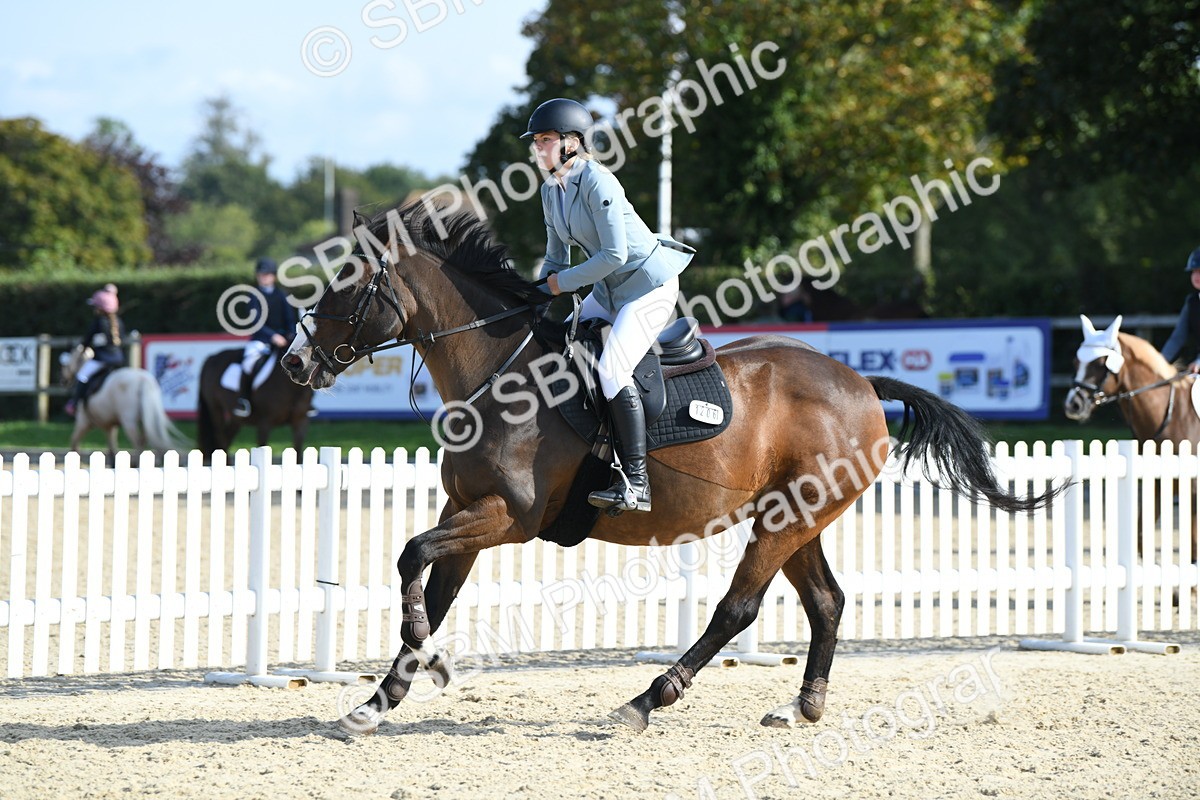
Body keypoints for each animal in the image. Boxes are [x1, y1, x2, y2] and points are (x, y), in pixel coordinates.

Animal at [281, 202, 1055, 734]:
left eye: (347, 282)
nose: (292, 362)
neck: (500, 375)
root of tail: (864, 384)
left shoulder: (507, 518)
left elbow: (412, 559)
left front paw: (423, 662)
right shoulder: (465, 513)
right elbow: (431, 586)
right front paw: (379, 700)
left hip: (786, 522)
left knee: (738, 608)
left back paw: (647, 699)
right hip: (796, 515)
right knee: (827, 602)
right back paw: (799, 707)